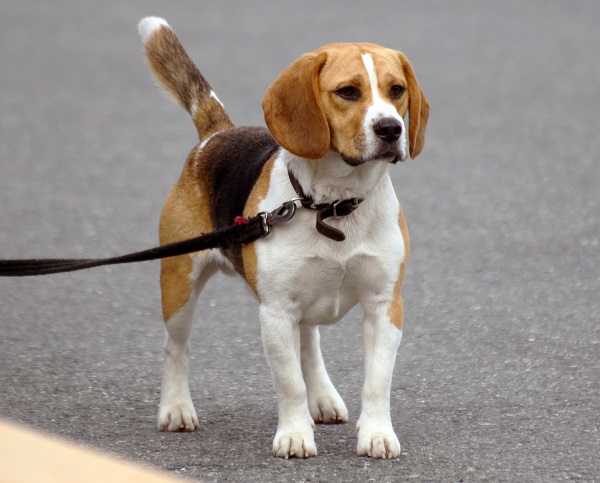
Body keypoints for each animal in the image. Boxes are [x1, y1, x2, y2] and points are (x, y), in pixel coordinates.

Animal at [137, 17, 426, 460]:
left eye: (397, 90)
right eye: (348, 91)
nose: (391, 129)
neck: (334, 205)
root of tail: (216, 135)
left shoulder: (385, 305)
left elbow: (377, 380)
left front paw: (377, 434)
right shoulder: (275, 312)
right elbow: (289, 383)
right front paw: (294, 435)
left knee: (309, 342)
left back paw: (323, 398)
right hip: (179, 285)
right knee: (176, 348)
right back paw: (176, 408)